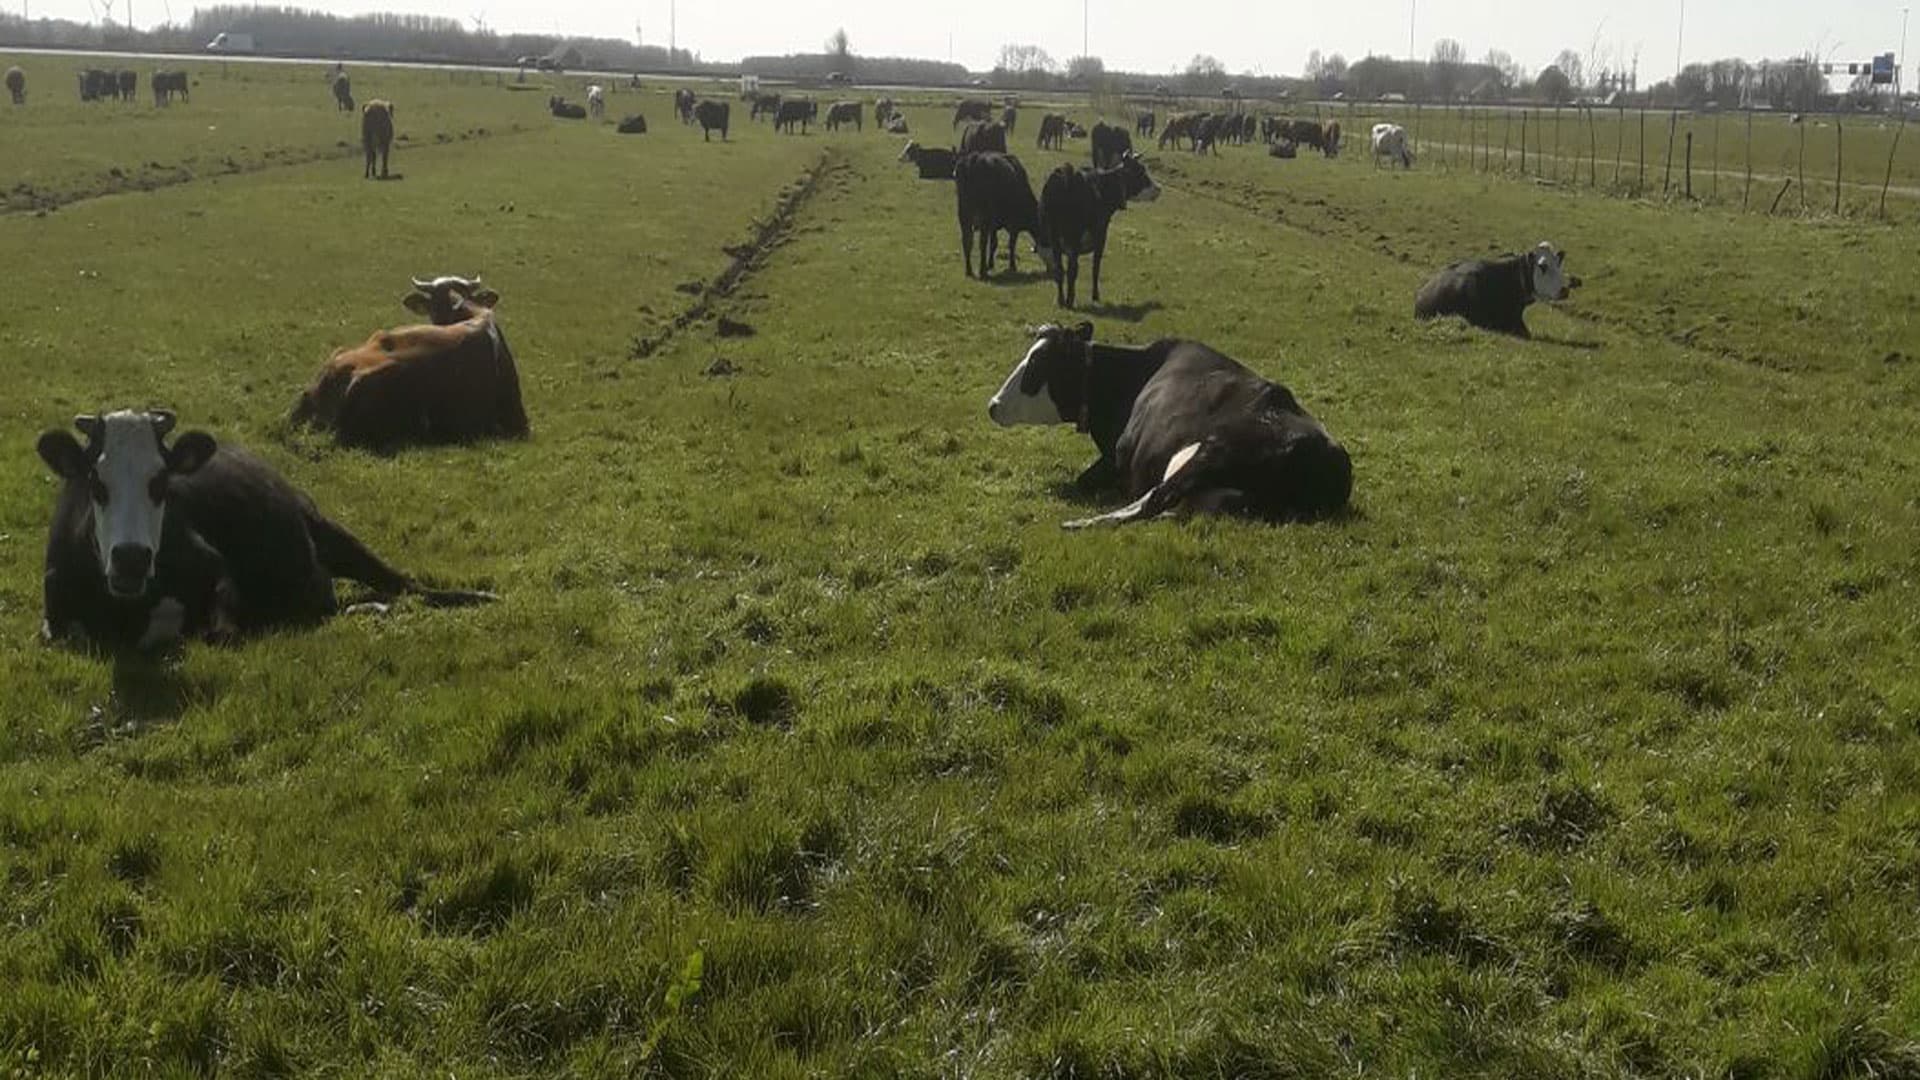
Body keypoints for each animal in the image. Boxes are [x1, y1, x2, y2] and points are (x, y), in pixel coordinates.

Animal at [36, 409, 494, 651]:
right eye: (96, 482)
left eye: (162, 481)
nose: (131, 558)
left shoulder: (216, 568)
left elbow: (221, 632)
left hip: (331, 533)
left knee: (401, 587)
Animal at [954, 152, 1049, 281]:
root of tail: (974, 159)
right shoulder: (1013, 225)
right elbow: (1011, 244)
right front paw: (1012, 266)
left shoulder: (993, 225)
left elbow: (994, 243)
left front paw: (990, 264)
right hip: (983, 217)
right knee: (982, 243)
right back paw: (982, 272)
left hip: (964, 215)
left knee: (967, 241)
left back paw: (969, 271)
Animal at [987, 323, 1353, 529]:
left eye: (1037, 363)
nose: (993, 405)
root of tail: (1330, 454)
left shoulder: (1121, 454)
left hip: (1214, 451)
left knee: (1153, 500)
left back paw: (1079, 523)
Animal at [1036, 153, 1160, 308]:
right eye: (1140, 172)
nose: (1158, 188)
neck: (1103, 186)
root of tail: (1064, 177)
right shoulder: (1100, 238)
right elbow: (1095, 268)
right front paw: (1095, 296)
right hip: (1073, 238)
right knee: (1072, 270)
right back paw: (1070, 301)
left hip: (1054, 238)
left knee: (1059, 270)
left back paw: (1061, 301)